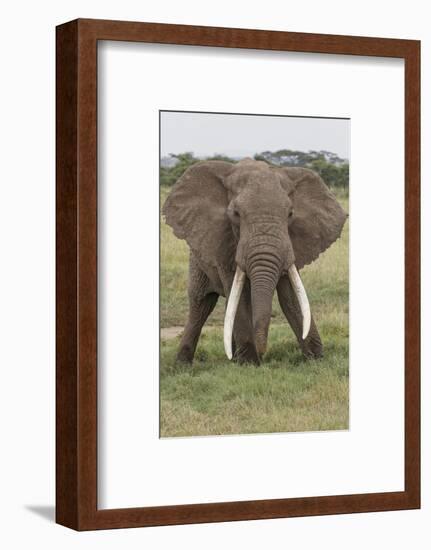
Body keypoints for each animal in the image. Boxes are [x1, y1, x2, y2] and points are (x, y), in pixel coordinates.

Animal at [162, 160, 348, 366]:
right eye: (236, 214)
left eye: (290, 214)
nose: (263, 353)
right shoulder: (224, 243)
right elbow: (240, 295)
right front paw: (250, 364)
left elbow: (291, 296)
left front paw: (316, 360)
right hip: (197, 257)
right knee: (201, 304)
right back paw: (183, 364)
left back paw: (232, 358)